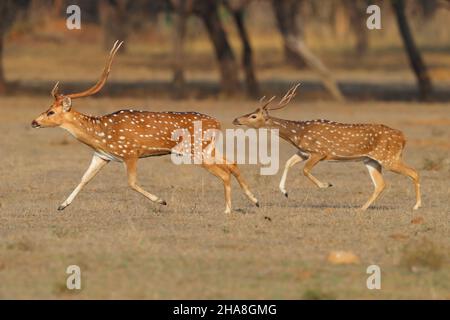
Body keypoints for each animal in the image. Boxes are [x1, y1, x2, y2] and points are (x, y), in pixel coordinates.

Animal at [31, 41, 258, 214]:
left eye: (50, 112)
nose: (34, 122)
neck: (100, 135)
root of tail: (218, 123)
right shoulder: (102, 156)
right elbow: (84, 178)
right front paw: (62, 205)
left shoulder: (130, 153)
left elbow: (131, 182)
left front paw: (162, 201)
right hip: (207, 148)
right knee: (233, 163)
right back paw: (255, 200)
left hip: (194, 151)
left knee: (224, 172)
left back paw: (227, 210)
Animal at [232, 84, 422, 211]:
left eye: (253, 116)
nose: (235, 119)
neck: (297, 133)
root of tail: (403, 137)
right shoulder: (303, 152)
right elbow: (287, 163)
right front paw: (284, 192)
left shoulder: (319, 152)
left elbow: (305, 170)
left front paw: (326, 185)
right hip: (371, 160)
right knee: (381, 184)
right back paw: (361, 208)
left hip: (389, 158)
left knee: (414, 172)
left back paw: (416, 206)